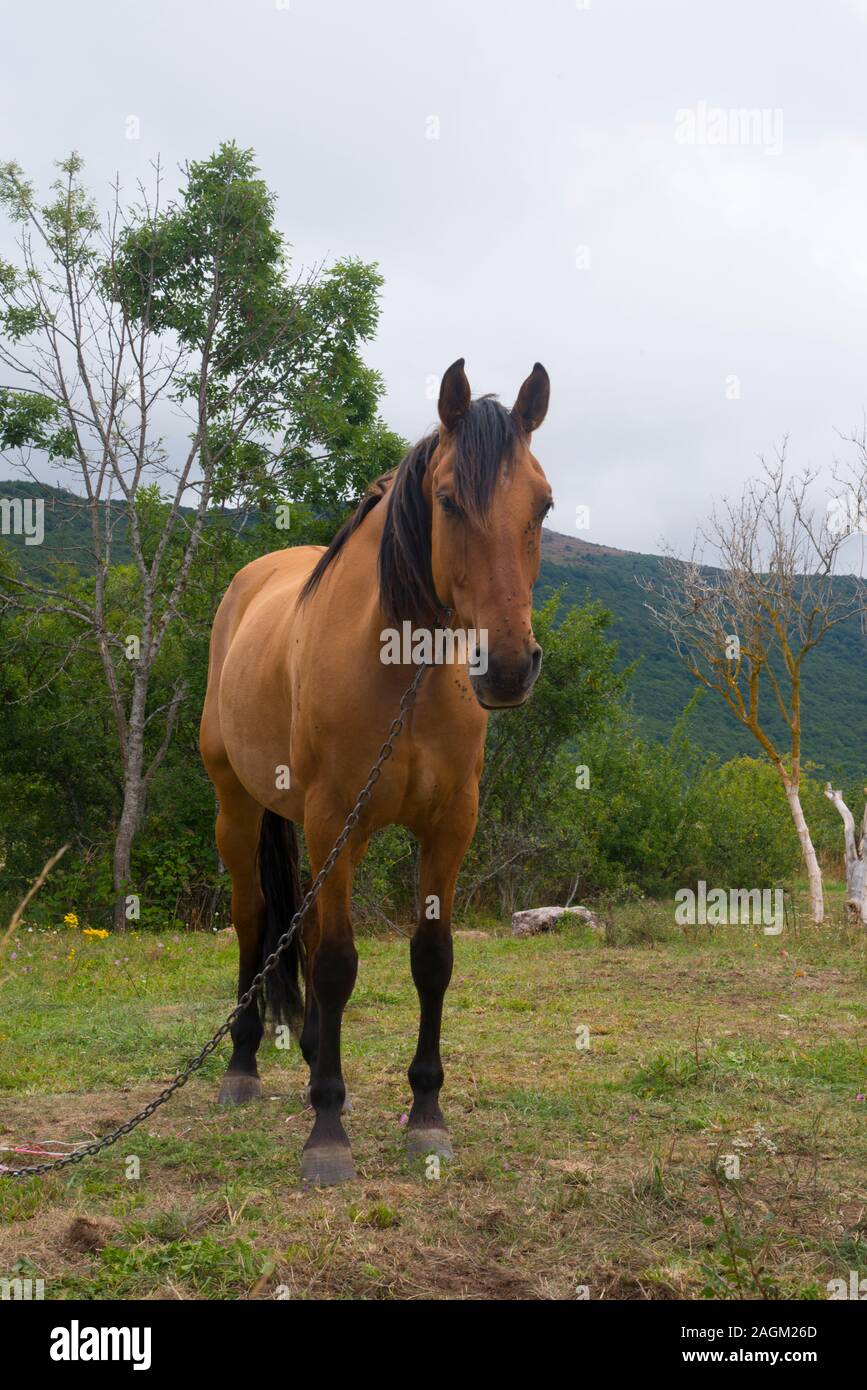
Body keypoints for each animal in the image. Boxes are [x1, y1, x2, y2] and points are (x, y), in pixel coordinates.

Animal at [199, 358, 552, 1184]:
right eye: (449, 499)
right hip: (239, 808)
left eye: (544, 504)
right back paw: (244, 1068)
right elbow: (334, 964)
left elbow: (432, 959)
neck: (402, 673)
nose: (507, 666)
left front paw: (425, 1114)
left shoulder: (448, 826)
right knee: (253, 920)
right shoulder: (339, 819)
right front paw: (327, 1131)